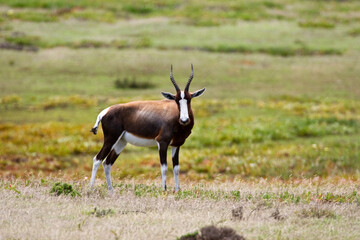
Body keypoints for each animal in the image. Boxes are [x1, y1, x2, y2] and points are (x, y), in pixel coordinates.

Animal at [89, 64, 205, 192]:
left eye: (189, 99)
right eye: (176, 100)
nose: (184, 120)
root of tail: (105, 111)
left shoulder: (176, 145)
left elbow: (176, 168)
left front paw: (177, 191)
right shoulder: (162, 142)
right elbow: (164, 167)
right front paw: (164, 190)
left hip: (121, 142)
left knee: (107, 163)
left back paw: (111, 192)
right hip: (110, 139)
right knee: (97, 159)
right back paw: (91, 189)